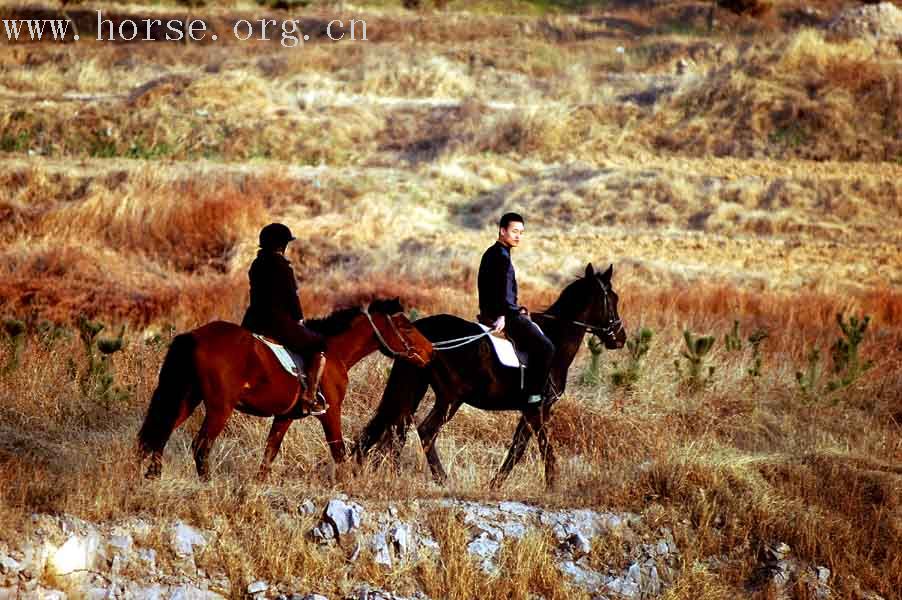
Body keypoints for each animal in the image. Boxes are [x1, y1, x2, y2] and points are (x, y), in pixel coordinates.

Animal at [139, 298, 436, 480]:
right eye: (406, 327)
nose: (430, 352)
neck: (335, 352)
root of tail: (194, 335)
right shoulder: (330, 412)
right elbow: (338, 451)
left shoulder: (284, 417)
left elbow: (270, 451)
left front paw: (259, 483)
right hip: (219, 408)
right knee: (201, 446)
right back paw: (206, 483)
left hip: (186, 399)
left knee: (161, 434)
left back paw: (153, 476)